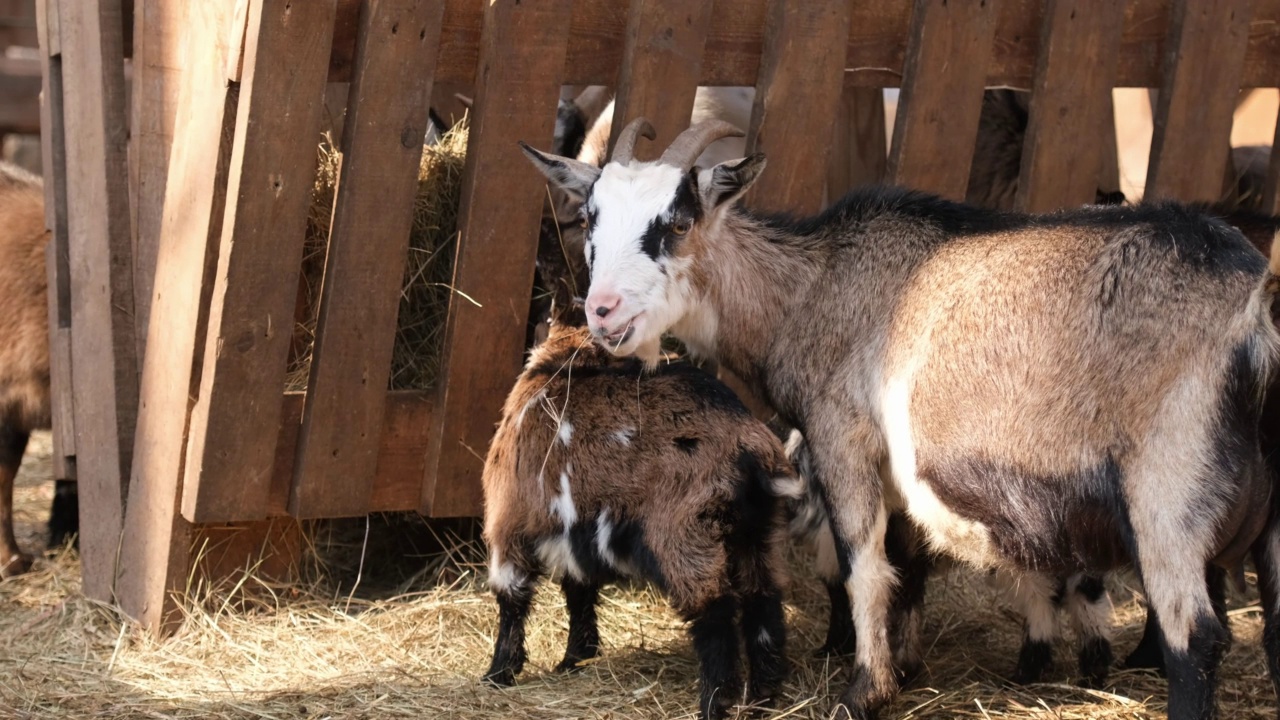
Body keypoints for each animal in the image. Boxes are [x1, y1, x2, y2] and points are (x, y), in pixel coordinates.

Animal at [481, 220, 798, 717]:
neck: (569, 357)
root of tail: (750, 449)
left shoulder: (509, 520)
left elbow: (512, 597)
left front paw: (499, 673)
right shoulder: (576, 529)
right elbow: (579, 589)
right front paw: (575, 657)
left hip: (687, 536)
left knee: (716, 615)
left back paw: (713, 700)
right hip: (760, 536)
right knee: (763, 606)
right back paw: (762, 697)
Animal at [517, 117, 1280, 717]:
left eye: (676, 223)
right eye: (591, 219)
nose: (603, 312)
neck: (814, 287)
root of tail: (1258, 314)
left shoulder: (843, 437)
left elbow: (865, 568)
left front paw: (864, 692)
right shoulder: (898, 476)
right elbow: (908, 568)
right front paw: (906, 673)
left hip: (1168, 490)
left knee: (1195, 638)